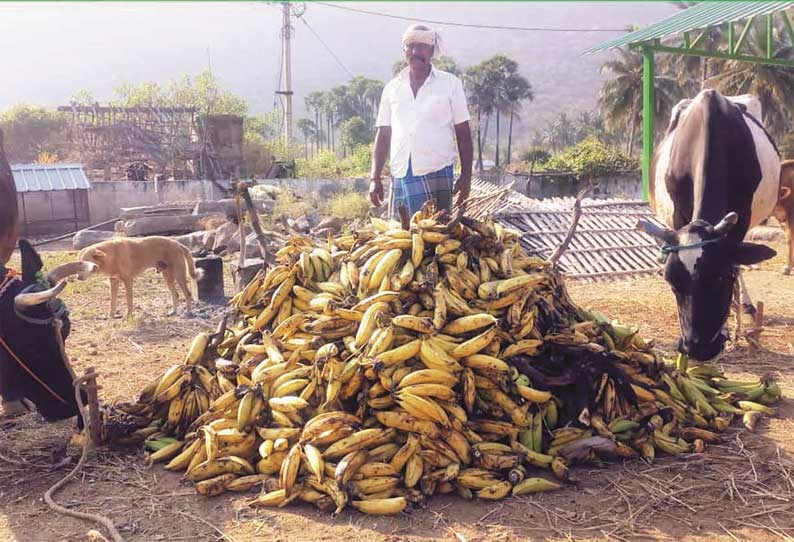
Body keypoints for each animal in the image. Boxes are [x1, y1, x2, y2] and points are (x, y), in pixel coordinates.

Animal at [636, 88, 780, 362]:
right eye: (672, 283)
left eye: (721, 278)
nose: (697, 349)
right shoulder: (679, 215)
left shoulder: (741, 216)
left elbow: (736, 262)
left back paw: (745, 305)